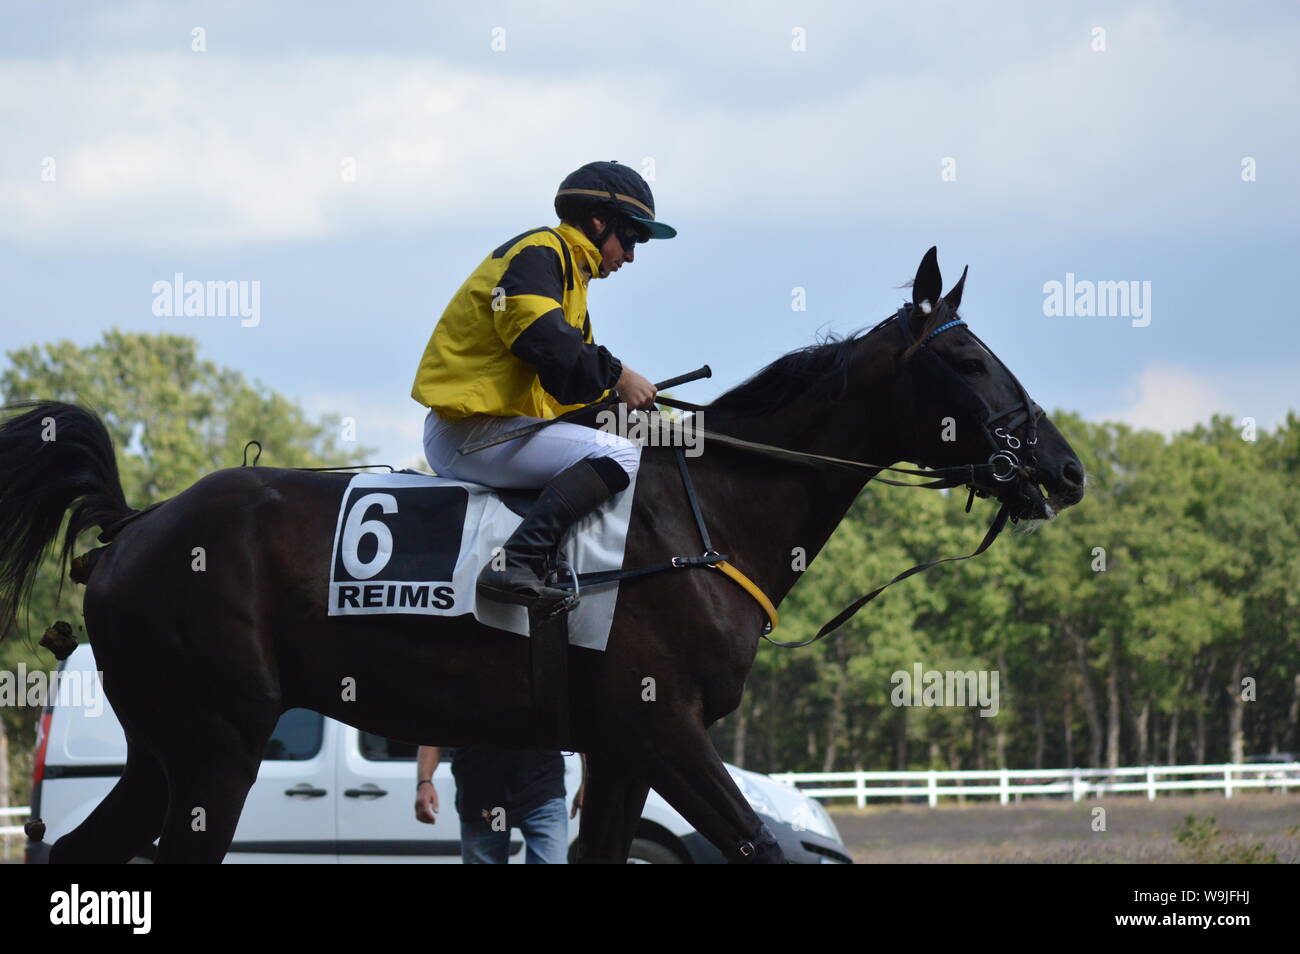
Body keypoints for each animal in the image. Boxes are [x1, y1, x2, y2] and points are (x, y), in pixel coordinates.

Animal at [0, 248, 1084, 863]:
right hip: (218, 742)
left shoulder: (618, 749)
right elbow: (757, 849)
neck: (706, 515)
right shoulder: (665, 729)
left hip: (167, 749)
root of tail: (139, 524)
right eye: (968, 359)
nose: (1065, 467)